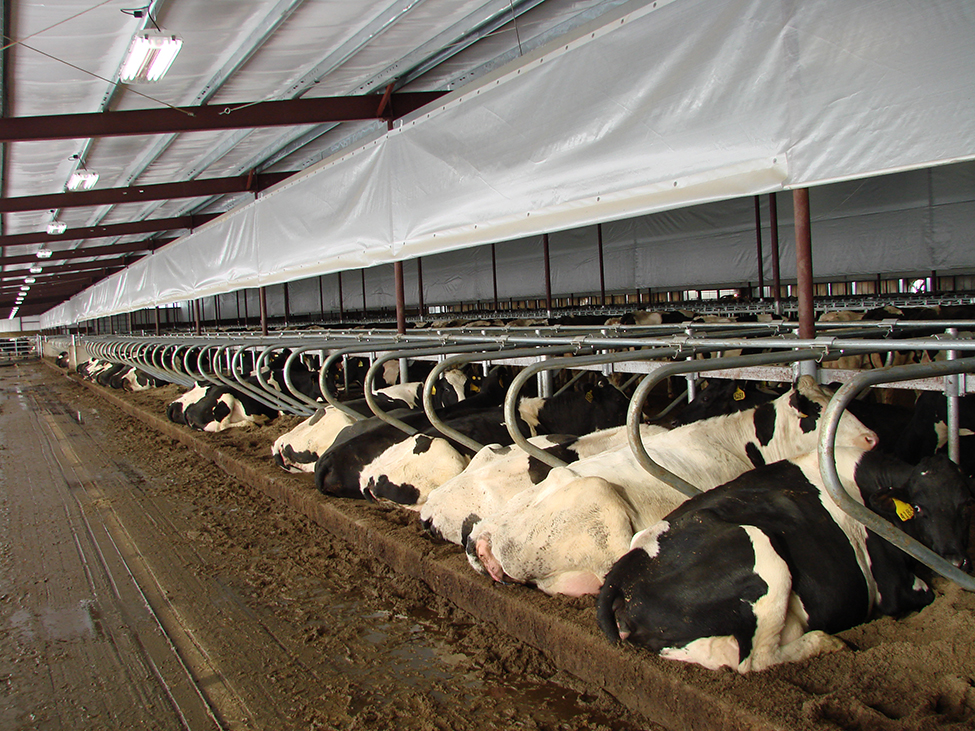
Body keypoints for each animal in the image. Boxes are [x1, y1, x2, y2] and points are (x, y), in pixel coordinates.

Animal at [600, 452, 972, 676]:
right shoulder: (892, 587)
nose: (955, 559)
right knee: (755, 659)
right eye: (919, 508)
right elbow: (922, 594)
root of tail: (625, 570)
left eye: (966, 504)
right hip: (766, 553)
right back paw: (826, 642)